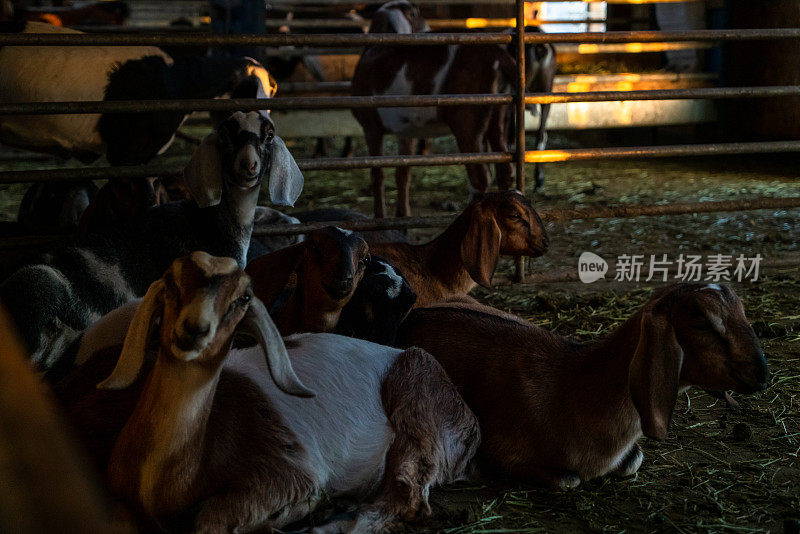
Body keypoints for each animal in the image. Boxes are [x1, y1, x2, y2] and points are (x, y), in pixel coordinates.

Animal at [65, 253, 478, 532]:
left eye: (240, 299)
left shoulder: (284, 470)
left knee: (407, 497)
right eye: (171, 286)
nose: (194, 330)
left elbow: (210, 520)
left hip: (419, 413)